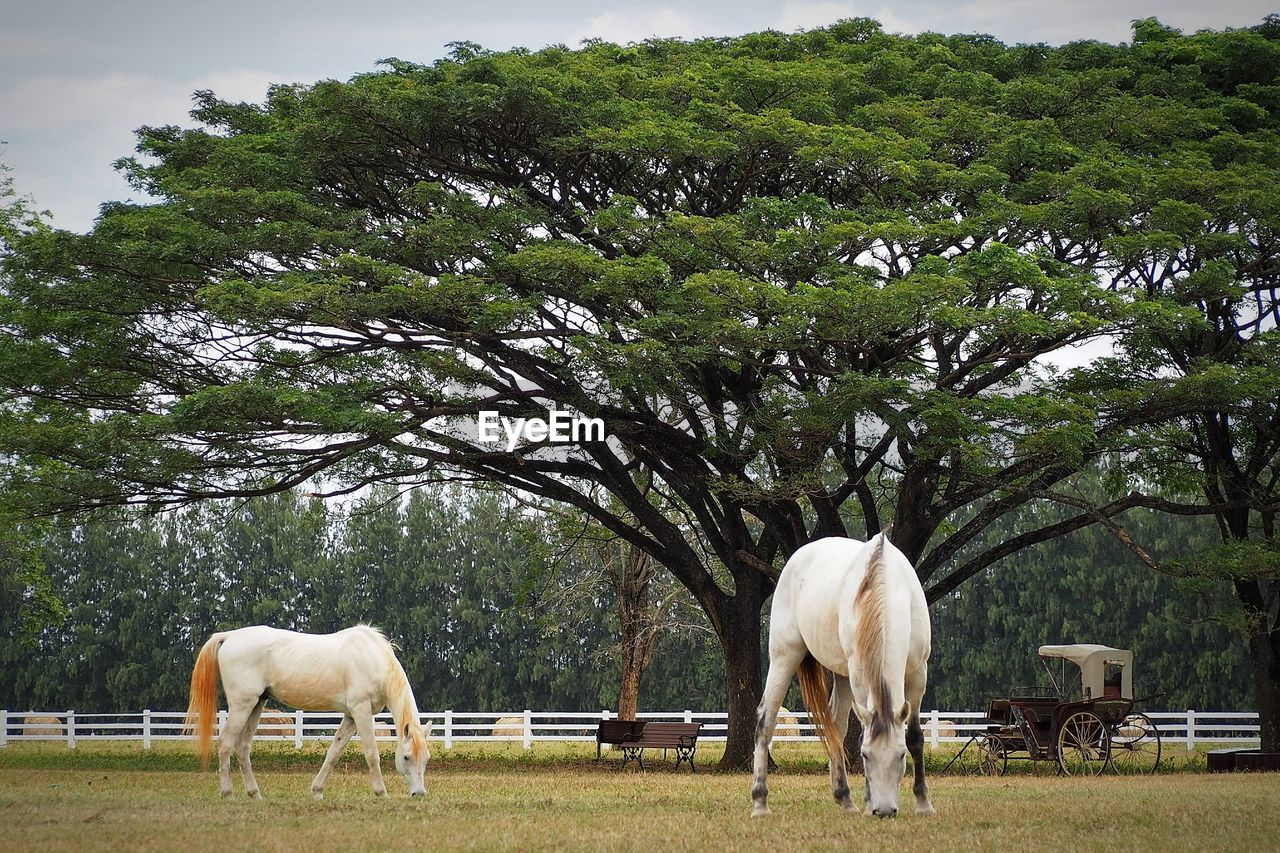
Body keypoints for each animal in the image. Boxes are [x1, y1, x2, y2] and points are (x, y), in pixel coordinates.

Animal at [185, 625, 432, 799]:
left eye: (426, 758)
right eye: (406, 757)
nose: (419, 793)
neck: (374, 660)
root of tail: (229, 637)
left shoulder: (351, 716)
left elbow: (334, 752)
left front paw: (317, 790)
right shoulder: (361, 711)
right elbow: (372, 754)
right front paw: (381, 792)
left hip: (257, 705)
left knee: (242, 747)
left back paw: (254, 794)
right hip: (242, 705)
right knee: (226, 744)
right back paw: (228, 793)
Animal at [747, 532, 942, 819]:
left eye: (900, 756)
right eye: (866, 756)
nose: (884, 811)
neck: (887, 589)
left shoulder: (918, 674)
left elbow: (915, 737)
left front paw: (924, 804)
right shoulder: (860, 676)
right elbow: (863, 733)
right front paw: (869, 804)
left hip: (842, 675)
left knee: (835, 727)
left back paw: (844, 798)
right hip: (785, 657)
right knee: (765, 722)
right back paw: (760, 803)